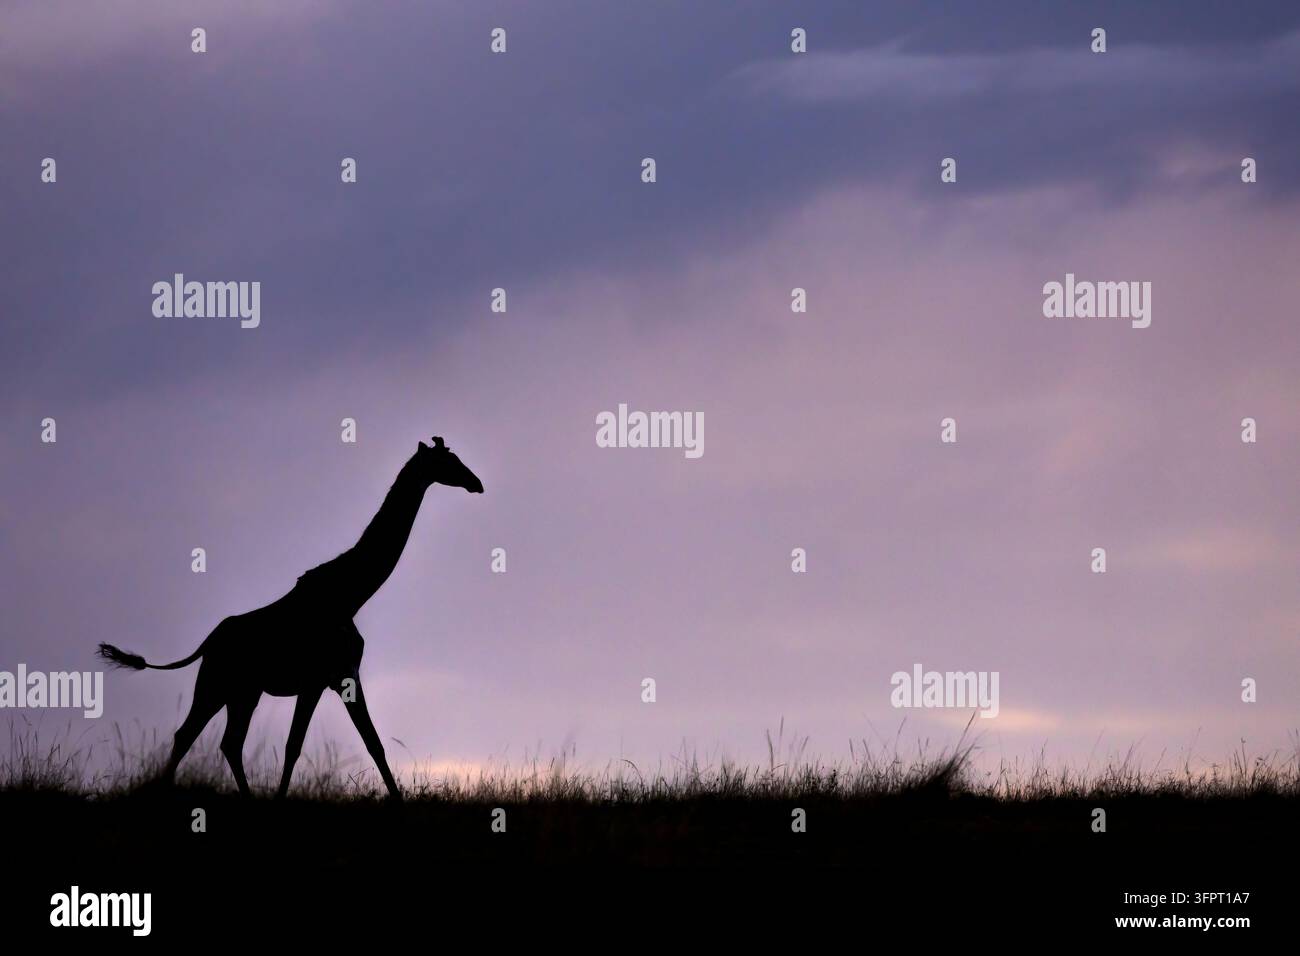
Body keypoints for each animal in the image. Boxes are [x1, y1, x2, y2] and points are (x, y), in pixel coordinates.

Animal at [97, 436, 483, 800]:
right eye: (448, 460)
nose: (476, 483)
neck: (350, 597)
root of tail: (206, 643)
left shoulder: (345, 675)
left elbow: (374, 743)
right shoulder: (314, 679)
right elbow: (293, 746)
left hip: (243, 691)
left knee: (227, 741)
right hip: (215, 684)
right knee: (188, 734)